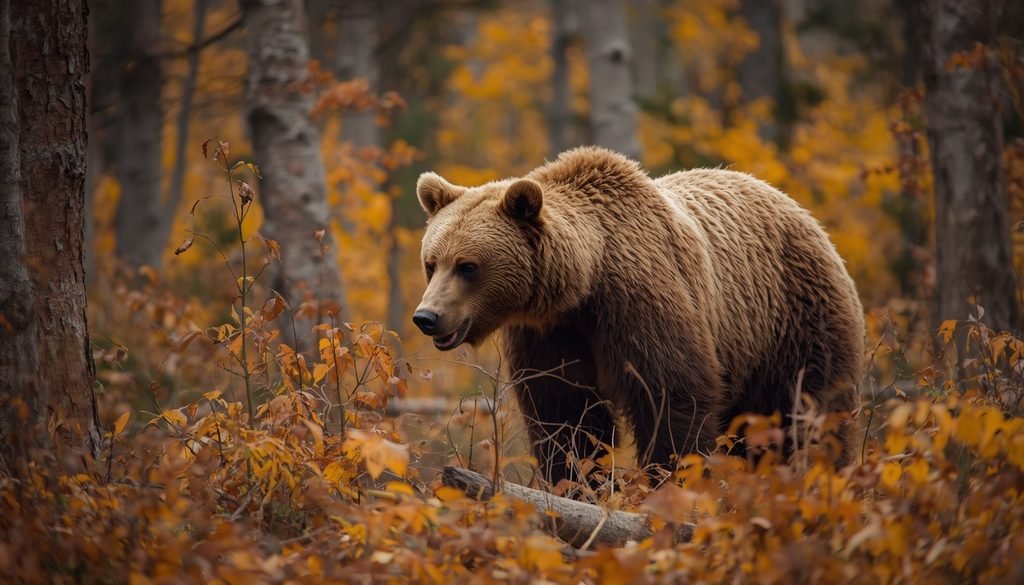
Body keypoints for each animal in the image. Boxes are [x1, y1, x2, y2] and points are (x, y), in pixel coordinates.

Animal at [412, 147, 864, 488]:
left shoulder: (640, 303)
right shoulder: (550, 335)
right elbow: (566, 416)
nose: (427, 317)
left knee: (807, 412)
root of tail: (802, 212)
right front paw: (581, 487)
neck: (584, 283)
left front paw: (671, 483)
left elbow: (670, 396)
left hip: (792, 319)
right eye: (432, 263)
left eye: (468, 266)